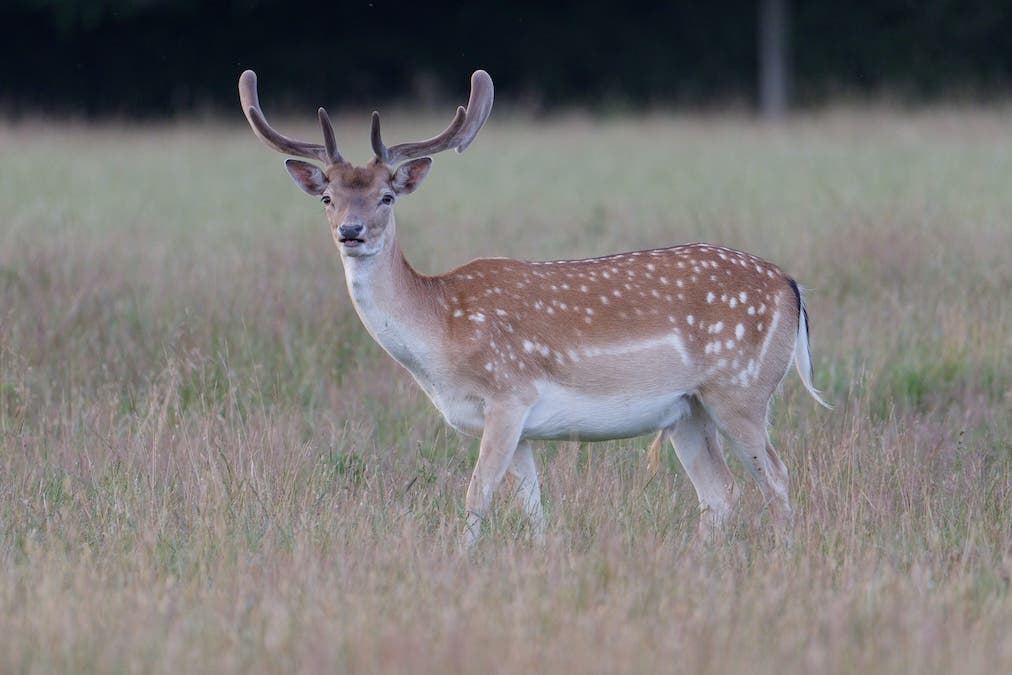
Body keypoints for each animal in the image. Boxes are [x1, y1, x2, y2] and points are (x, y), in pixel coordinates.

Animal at [238, 68, 830, 549]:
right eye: (328, 197)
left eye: (387, 195)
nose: (351, 231)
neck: (440, 333)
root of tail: (791, 286)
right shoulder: (518, 424)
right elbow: (533, 506)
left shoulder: (509, 393)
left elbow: (477, 495)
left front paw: (459, 562)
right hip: (688, 410)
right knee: (721, 492)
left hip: (741, 389)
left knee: (777, 481)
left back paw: (783, 557)